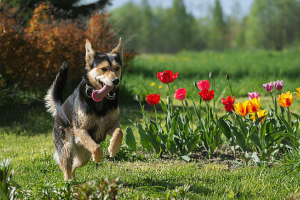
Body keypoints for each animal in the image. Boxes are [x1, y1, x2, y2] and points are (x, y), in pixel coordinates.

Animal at [44, 38, 124, 180]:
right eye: (103, 69)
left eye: (117, 68)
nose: (116, 81)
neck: (100, 101)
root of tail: (60, 109)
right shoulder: (81, 129)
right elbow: (96, 147)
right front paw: (98, 158)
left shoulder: (112, 125)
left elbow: (119, 132)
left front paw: (113, 148)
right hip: (66, 147)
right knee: (66, 167)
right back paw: (68, 182)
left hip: (84, 156)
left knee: (74, 165)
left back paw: (74, 180)